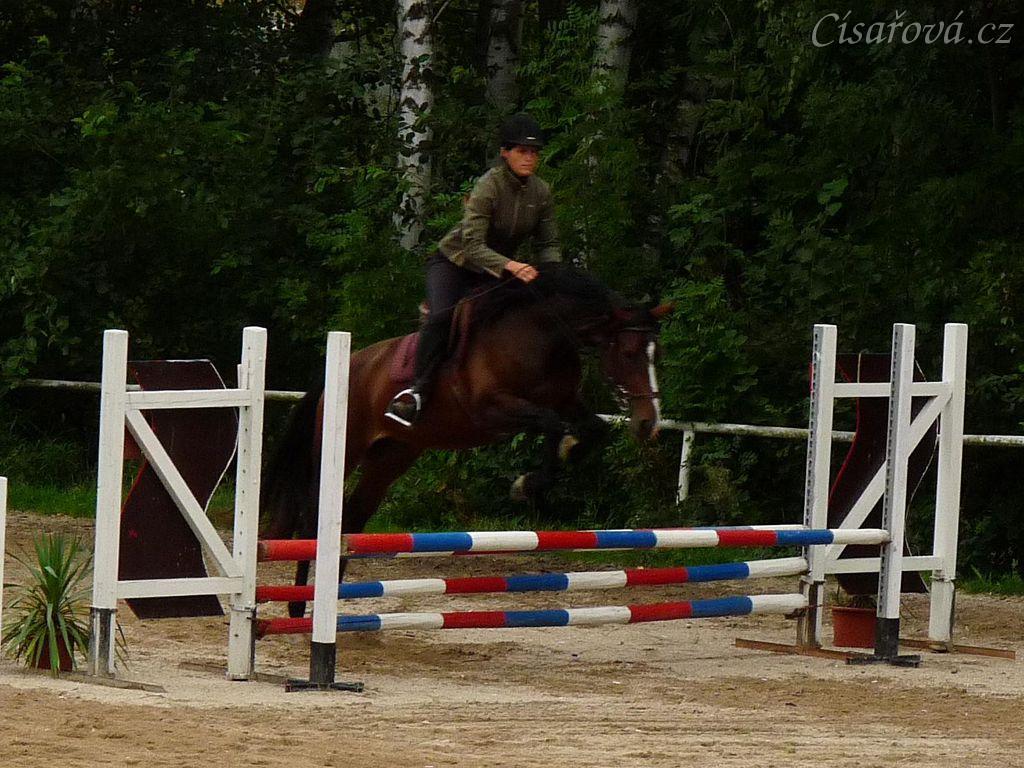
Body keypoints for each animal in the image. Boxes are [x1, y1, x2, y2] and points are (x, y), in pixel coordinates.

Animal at [261, 262, 672, 617]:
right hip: (343, 448)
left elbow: (592, 428)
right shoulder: (492, 409)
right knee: (312, 519)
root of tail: (346, 365)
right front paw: (527, 484)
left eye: (656, 355)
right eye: (629, 353)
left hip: (392, 456)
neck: (542, 334)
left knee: (352, 518)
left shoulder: (568, 402)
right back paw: (297, 606)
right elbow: (552, 423)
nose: (648, 423)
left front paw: (568, 452)